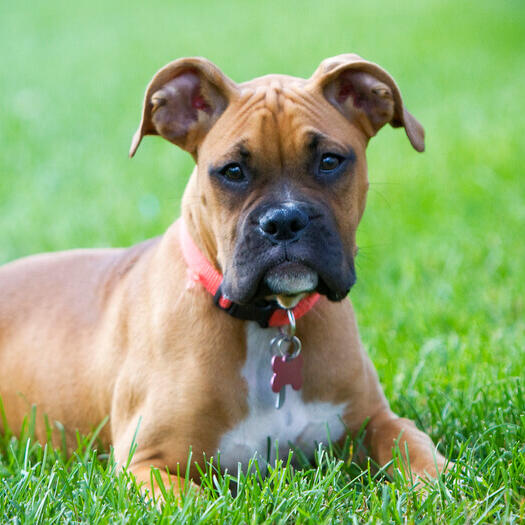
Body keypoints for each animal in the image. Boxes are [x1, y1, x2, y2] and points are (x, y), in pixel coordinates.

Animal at [0, 55, 446, 498]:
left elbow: (415, 449)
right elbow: (194, 500)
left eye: (329, 161)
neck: (269, 323)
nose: (284, 220)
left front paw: (443, 493)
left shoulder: (377, 420)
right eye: (232, 171)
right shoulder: (145, 464)